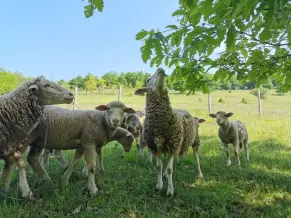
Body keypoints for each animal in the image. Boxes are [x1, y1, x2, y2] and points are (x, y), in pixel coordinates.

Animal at [136, 67, 204, 196]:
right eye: (148, 80)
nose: (160, 69)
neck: (160, 125)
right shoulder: (155, 147)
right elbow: (159, 166)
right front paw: (159, 185)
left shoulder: (173, 145)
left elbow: (169, 168)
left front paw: (170, 190)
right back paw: (165, 176)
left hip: (195, 141)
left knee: (197, 158)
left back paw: (199, 174)